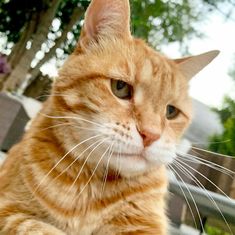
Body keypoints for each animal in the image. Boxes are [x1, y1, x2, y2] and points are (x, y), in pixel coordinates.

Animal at [0, 0, 218, 235]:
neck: (92, 185)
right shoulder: (9, 211)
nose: (150, 135)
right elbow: (39, 227)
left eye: (171, 111)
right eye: (120, 87)